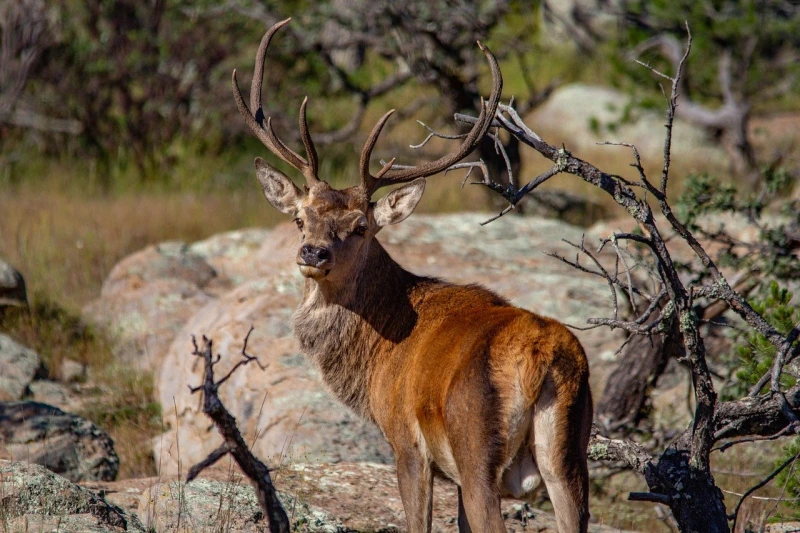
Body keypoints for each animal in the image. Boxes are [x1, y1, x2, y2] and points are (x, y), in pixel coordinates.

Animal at [231, 18, 592, 528]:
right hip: (570, 455)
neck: (376, 358)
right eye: (300, 218)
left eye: (360, 226)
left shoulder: (407, 443)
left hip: (476, 448)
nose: (313, 253)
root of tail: (543, 356)